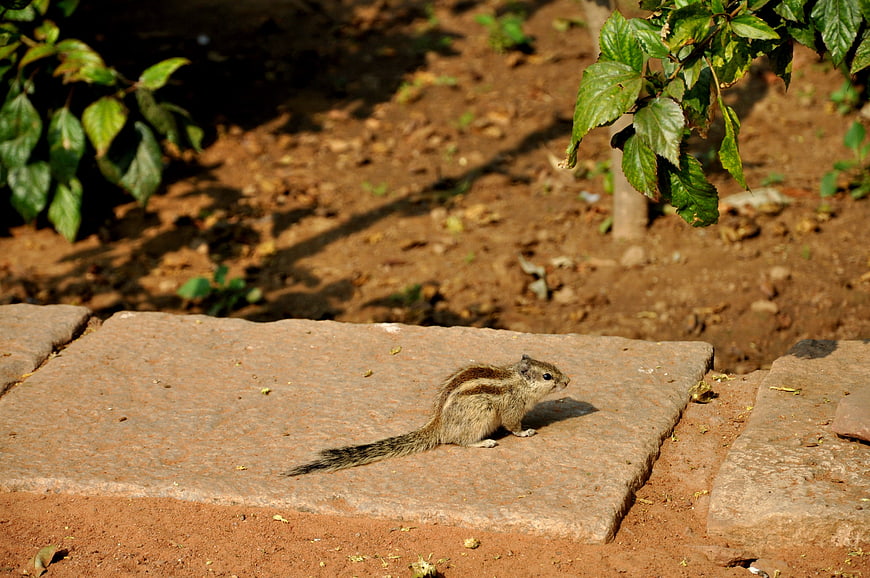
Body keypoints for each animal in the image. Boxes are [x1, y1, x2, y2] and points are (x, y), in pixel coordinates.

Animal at [283, 354, 569, 476]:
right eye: (548, 376)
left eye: (554, 367)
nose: (567, 380)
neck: (516, 382)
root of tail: (438, 425)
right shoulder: (511, 409)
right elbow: (513, 425)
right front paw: (526, 431)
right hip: (480, 416)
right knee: (460, 441)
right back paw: (485, 442)